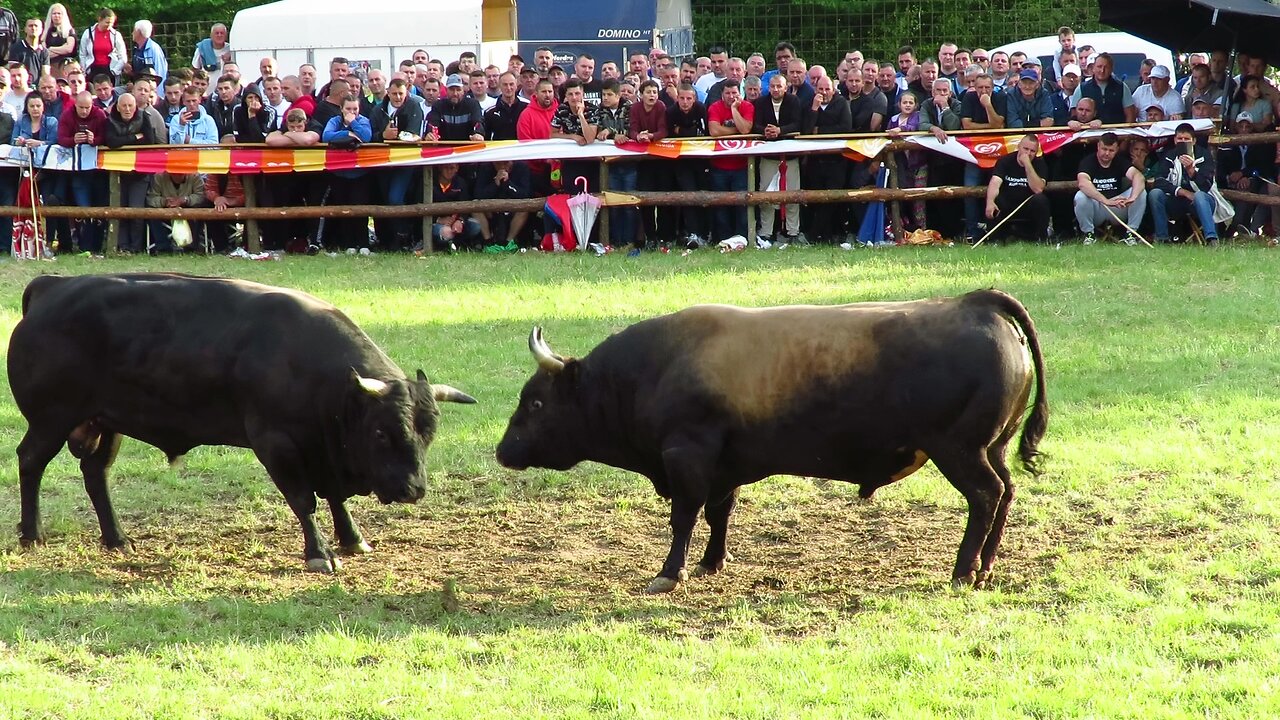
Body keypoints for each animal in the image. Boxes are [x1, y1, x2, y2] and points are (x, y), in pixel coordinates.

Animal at [7, 271, 478, 568]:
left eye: (429, 433)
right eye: (381, 432)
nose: (413, 489)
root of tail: (53, 286)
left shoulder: (325, 452)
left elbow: (334, 498)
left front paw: (351, 538)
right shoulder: (277, 444)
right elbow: (304, 500)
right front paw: (319, 553)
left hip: (106, 423)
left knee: (95, 474)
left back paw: (117, 538)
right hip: (51, 419)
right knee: (30, 462)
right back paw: (32, 534)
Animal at [494, 288, 1044, 591]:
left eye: (535, 403)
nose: (502, 451)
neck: (656, 367)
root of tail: (975, 303)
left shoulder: (687, 455)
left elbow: (684, 517)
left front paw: (672, 571)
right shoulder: (724, 464)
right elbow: (719, 513)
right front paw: (713, 561)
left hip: (959, 451)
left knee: (986, 496)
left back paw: (963, 570)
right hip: (990, 448)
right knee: (1006, 492)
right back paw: (985, 567)